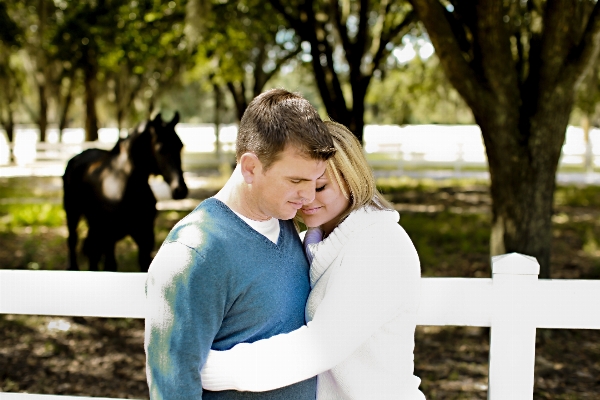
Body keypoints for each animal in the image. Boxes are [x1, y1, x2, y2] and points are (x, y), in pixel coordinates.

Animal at [63, 113, 188, 272]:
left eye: (180, 146)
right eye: (161, 149)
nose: (180, 189)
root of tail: (77, 158)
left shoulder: (146, 237)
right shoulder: (109, 237)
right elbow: (110, 265)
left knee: (93, 253)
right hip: (73, 213)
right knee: (73, 241)